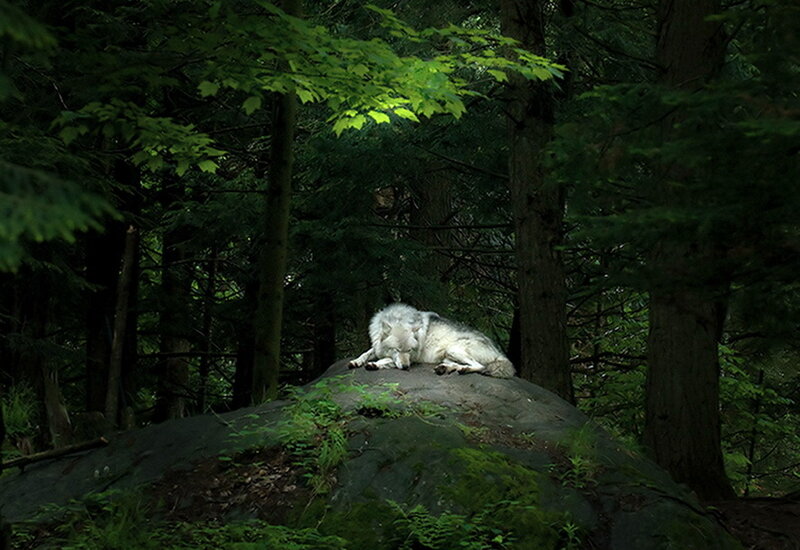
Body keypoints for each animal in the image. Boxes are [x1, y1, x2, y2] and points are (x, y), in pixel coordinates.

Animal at [348, 303, 515, 378]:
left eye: (409, 350)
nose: (406, 367)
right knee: (458, 365)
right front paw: (356, 361)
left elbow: (386, 360)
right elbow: (367, 353)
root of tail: (501, 354)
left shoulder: (412, 358)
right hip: (448, 355)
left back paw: (463, 370)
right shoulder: (377, 345)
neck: (399, 319)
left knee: (480, 366)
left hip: (453, 349)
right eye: (396, 349)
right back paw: (445, 369)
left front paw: (375, 364)